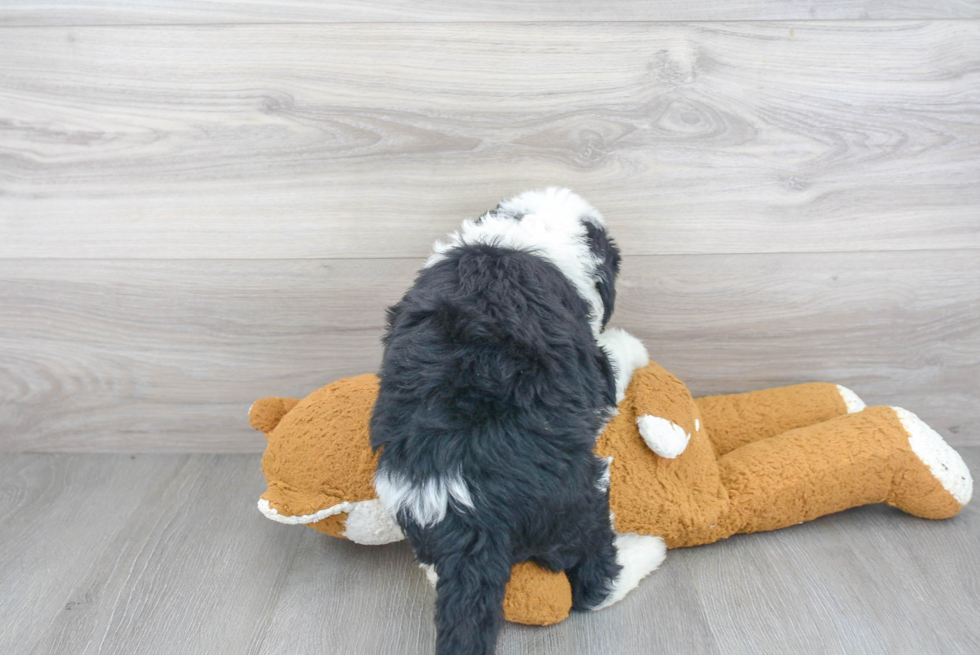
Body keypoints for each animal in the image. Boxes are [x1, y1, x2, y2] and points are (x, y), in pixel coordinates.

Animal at [372, 187, 664, 652]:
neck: (522, 235)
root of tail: (467, 513)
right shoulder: (597, 370)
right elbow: (617, 354)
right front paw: (631, 344)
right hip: (582, 500)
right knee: (594, 582)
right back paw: (647, 551)